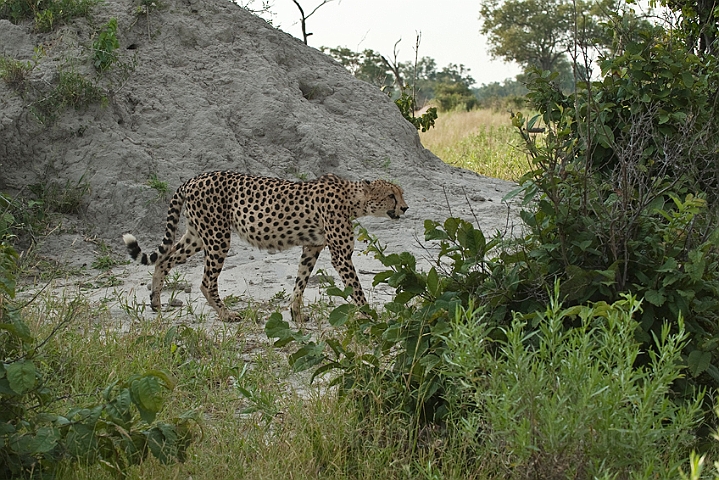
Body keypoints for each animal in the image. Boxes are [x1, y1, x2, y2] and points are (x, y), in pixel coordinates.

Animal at [121, 172, 408, 322]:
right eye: (391, 195)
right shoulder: (341, 255)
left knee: (164, 259)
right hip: (217, 237)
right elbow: (357, 289)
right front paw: (371, 315)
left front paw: (295, 314)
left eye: (400, 194)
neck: (352, 198)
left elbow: (300, 282)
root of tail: (193, 178)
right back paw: (227, 314)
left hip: (197, 235)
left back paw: (156, 303)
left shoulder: (311, 248)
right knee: (205, 281)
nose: (405, 208)